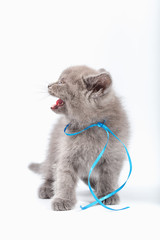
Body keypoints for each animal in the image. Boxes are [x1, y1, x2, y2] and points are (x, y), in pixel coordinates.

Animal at [28, 65, 129, 210]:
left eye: (61, 82)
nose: (49, 85)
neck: (91, 126)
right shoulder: (67, 154)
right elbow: (65, 178)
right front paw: (63, 199)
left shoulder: (113, 155)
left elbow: (108, 177)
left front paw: (106, 195)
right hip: (53, 149)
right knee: (49, 170)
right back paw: (46, 188)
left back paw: (94, 184)